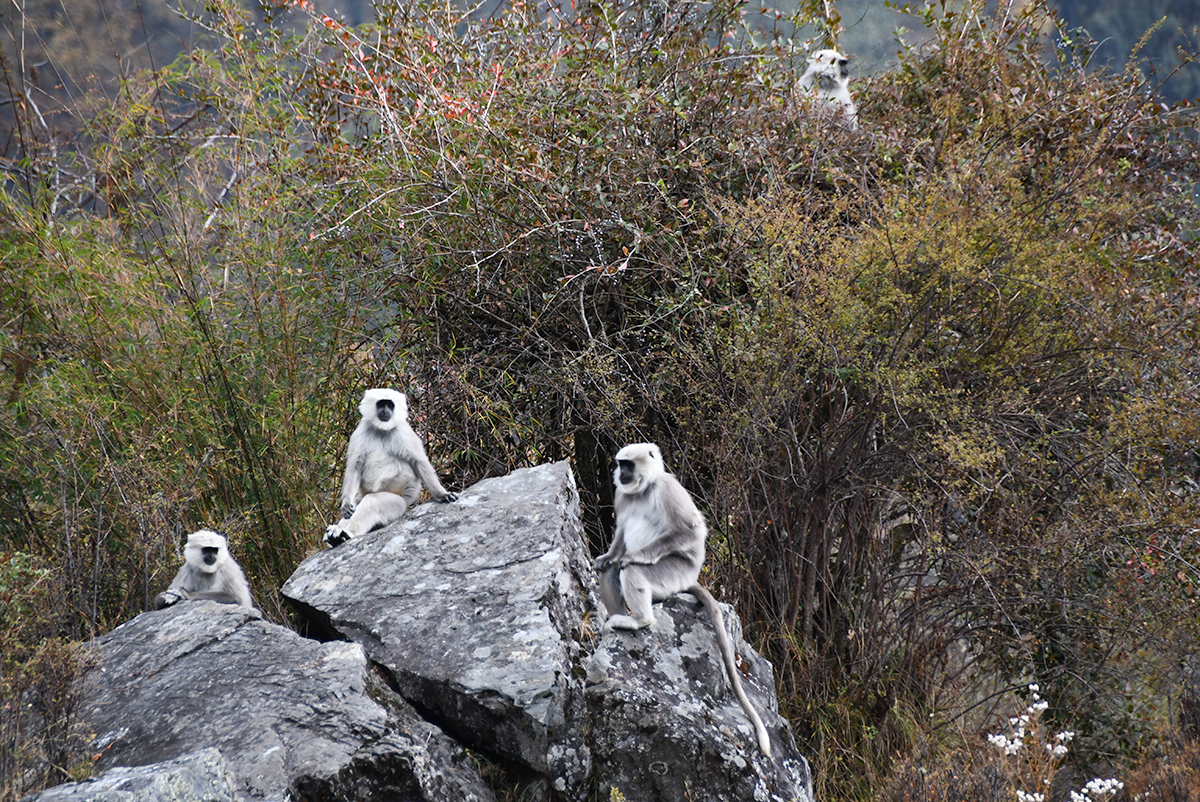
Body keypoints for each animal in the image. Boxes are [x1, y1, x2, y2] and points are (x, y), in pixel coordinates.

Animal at [323, 388, 458, 547]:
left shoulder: (403, 432)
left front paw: (442, 494)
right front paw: (345, 504)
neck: (382, 430)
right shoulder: (361, 431)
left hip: (399, 503)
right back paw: (336, 533)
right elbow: (354, 467)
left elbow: (420, 462)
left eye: (390, 405)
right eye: (382, 404)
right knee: (357, 504)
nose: (385, 411)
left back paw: (345, 533)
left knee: (372, 502)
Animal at [593, 443, 772, 756]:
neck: (643, 490)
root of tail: (689, 580)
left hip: (672, 576)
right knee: (612, 570)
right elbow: (619, 538)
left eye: (628, 464)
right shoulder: (622, 496)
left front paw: (636, 555)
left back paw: (639, 620)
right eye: (620, 464)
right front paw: (606, 556)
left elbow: (690, 531)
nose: (620, 473)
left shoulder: (666, 488)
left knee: (633, 570)